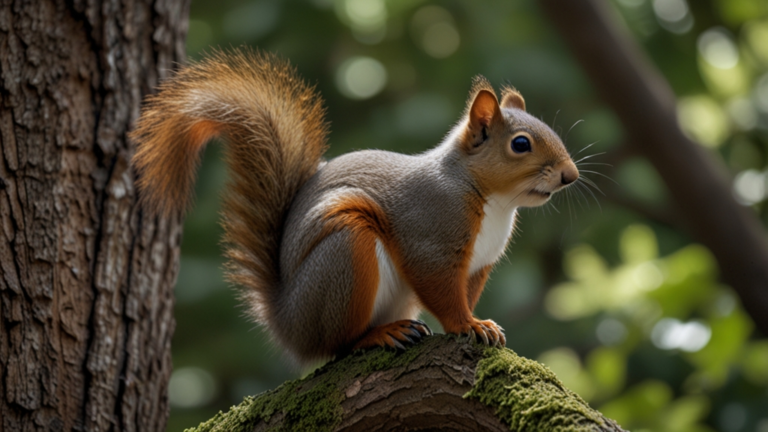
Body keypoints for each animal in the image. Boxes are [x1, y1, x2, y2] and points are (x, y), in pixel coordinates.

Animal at [130, 48, 579, 365]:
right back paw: (378, 335)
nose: (570, 175)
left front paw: (479, 321)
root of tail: (287, 323)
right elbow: (440, 289)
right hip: (345, 255)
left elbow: (464, 293)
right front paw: (467, 324)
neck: (494, 202)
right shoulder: (431, 234)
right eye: (520, 144)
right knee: (338, 345)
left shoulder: (478, 263)